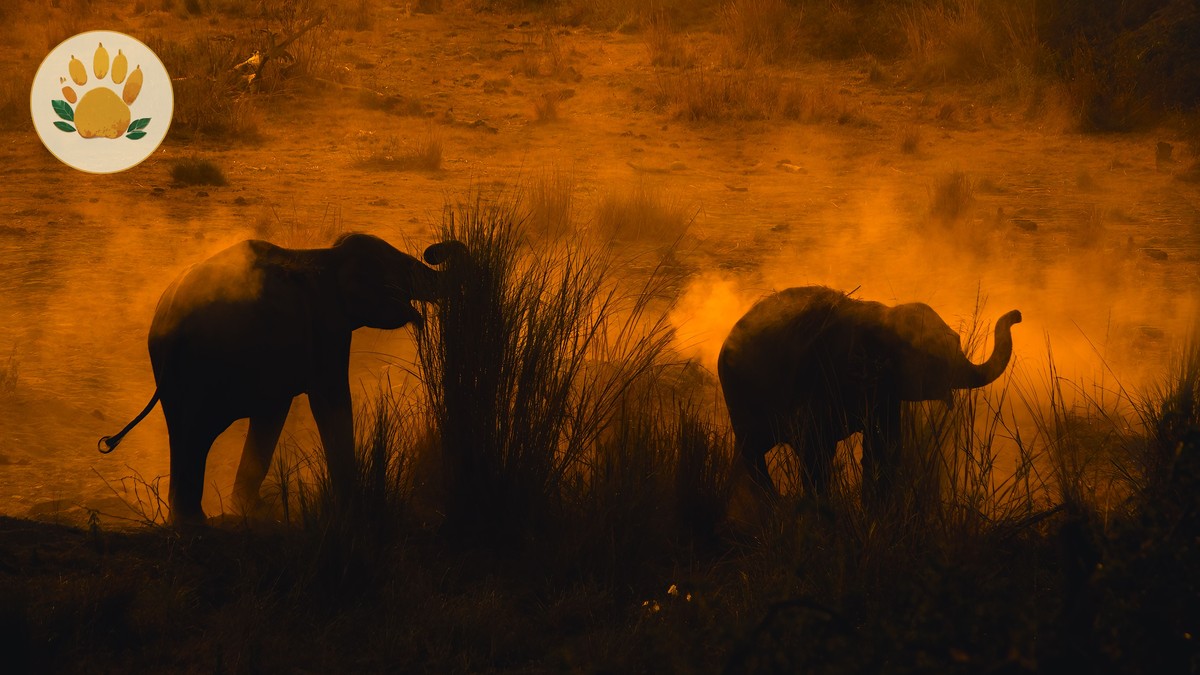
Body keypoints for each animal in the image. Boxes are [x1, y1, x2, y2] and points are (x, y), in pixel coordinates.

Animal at [99, 233, 470, 525]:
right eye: (399, 271)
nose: (433, 250)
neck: (327, 255)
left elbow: (273, 413)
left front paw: (252, 510)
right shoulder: (327, 327)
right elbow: (329, 400)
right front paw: (350, 508)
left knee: (183, 432)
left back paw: (186, 520)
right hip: (203, 367)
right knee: (197, 432)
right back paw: (193, 523)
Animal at [717, 286, 1021, 504]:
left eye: (957, 340)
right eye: (935, 358)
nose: (1017, 315)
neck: (881, 318)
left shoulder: (884, 393)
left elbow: (884, 445)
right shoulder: (821, 375)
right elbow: (815, 447)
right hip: (738, 391)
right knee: (754, 451)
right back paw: (775, 504)